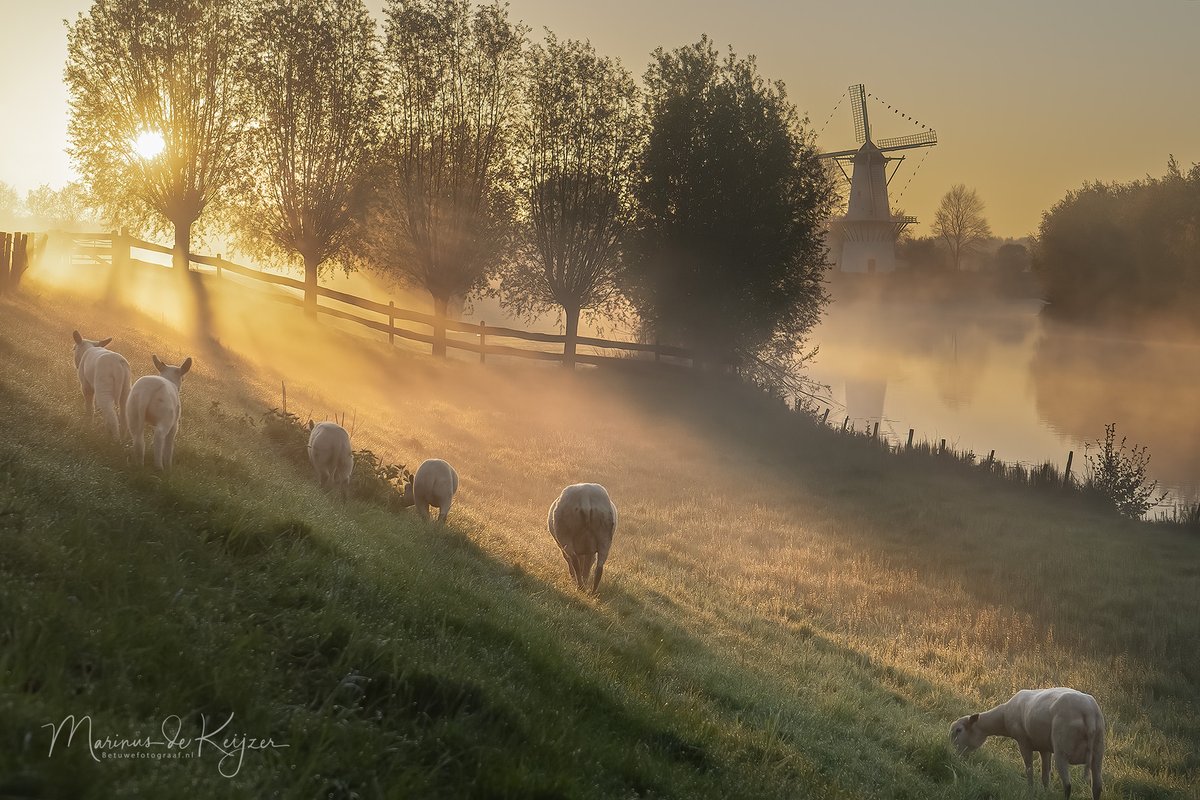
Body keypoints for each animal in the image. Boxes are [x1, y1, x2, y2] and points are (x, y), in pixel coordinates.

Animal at [950, 690, 1108, 800]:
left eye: (958, 730)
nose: (955, 757)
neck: (1003, 717)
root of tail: (1088, 713)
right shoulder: (1044, 748)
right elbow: (1045, 775)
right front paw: (1045, 793)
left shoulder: (1023, 742)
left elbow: (1029, 769)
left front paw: (1030, 791)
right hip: (1098, 751)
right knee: (1097, 786)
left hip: (1062, 749)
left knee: (1068, 786)